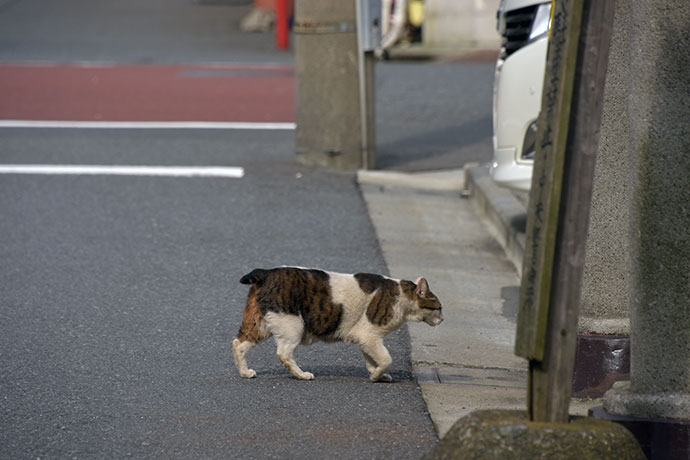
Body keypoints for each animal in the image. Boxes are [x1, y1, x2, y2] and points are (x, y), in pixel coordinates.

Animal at [231, 266, 440, 380]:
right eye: (439, 308)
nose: (442, 319)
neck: (403, 297)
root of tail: (266, 273)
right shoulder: (370, 336)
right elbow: (386, 359)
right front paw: (375, 376)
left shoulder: (366, 339)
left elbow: (373, 360)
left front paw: (378, 376)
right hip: (292, 327)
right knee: (283, 354)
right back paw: (302, 375)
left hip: (260, 324)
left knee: (238, 344)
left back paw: (245, 372)